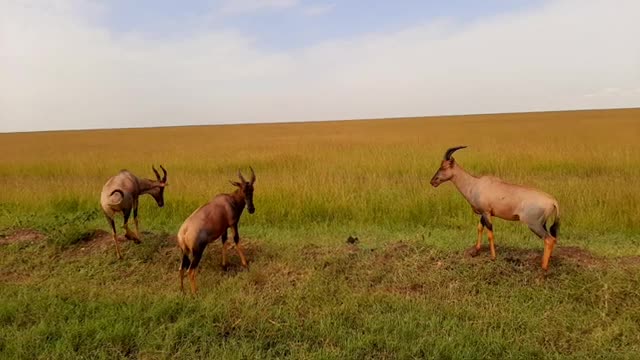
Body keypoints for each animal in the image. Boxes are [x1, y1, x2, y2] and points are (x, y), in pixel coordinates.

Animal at [430, 146, 560, 270]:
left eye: (444, 166)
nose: (433, 181)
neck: (475, 184)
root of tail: (553, 200)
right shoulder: (484, 213)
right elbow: (479, 228)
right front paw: (476, 250)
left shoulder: (486, 213)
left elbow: (490, 234)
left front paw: (493, 257)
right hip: (542, 224)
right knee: (552, 239)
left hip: (534, 224)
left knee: (549, 239)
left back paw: (543, 267)